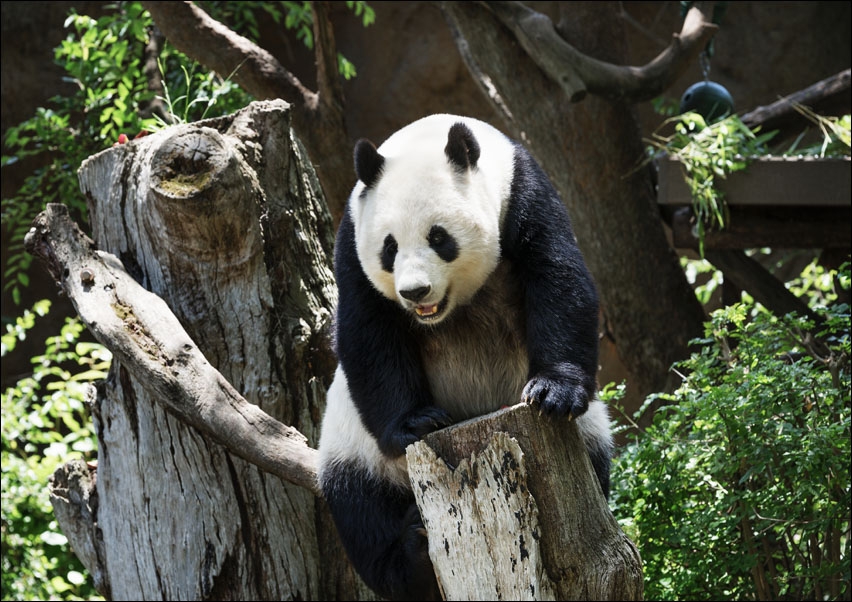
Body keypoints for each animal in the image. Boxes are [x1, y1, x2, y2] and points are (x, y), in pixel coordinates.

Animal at [317, 114, 613, 601]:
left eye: (439, 238)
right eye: (389, 248)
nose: (415, 291)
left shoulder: (523, 193)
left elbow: (557, 277)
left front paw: (553, 392)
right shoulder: (352, 238)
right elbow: (368, 330)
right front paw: (417, 422)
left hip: (590, 436)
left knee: (596, 458)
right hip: (354, 449)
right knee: (361, 510)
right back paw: (411, 554)